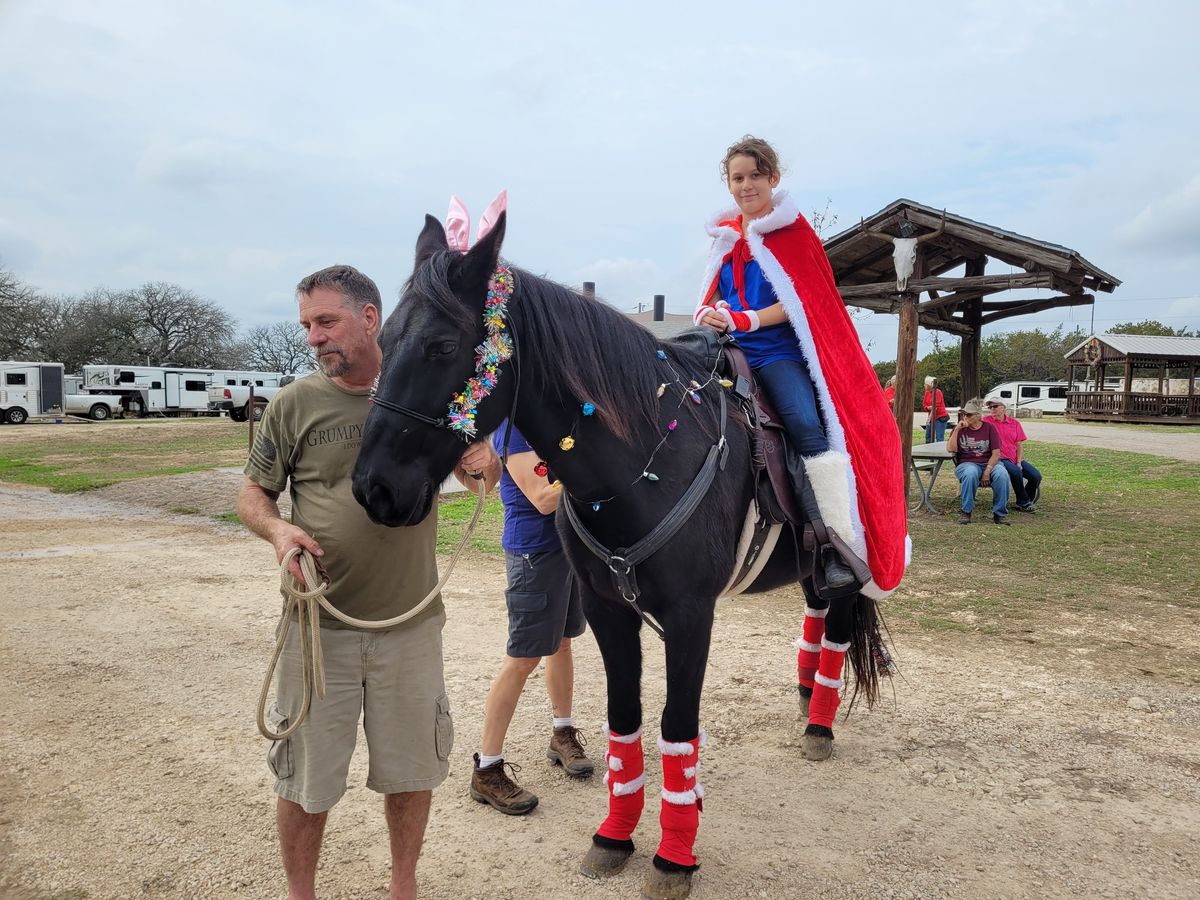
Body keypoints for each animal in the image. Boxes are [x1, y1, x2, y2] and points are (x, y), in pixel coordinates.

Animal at [350, 217, 878, 900]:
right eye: (384, 338)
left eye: (442, 346)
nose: (373, 488)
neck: (648, 459)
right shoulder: (607, 610)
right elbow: (623, 720)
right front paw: (614, 837)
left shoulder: (690, 617)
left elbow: (677, 729)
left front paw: (674, 857)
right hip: (806, 564)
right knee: (817, 614)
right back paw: (807, 693)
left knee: (838, 622)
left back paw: (819, 725)